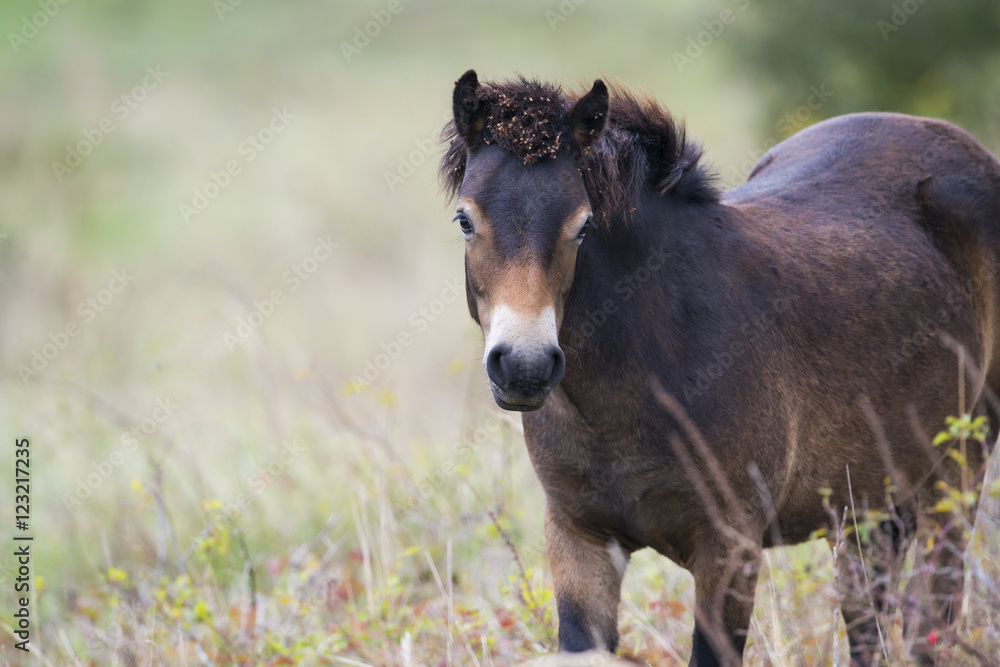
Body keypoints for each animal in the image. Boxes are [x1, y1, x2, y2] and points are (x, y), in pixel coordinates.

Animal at [438, 70, 1000, 664]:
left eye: (583, 226)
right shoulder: (579, 538)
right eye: (465, 221)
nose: (523, 367)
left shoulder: (730, 550)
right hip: (865, 511)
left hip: (952, 487)